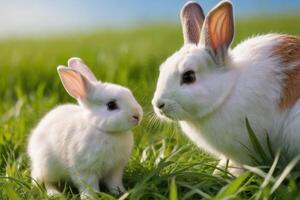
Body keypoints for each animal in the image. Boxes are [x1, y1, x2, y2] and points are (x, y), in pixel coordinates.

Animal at [27, 57, 143, 198]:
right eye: (111, 105)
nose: (137, 115)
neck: (105, 131)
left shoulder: (115, 169)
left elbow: (114, 183)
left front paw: (121, 193)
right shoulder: (85, 170)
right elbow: (89, 186)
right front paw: (90, 197)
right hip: (47, 166)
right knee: (47, 182)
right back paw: (55, 194)